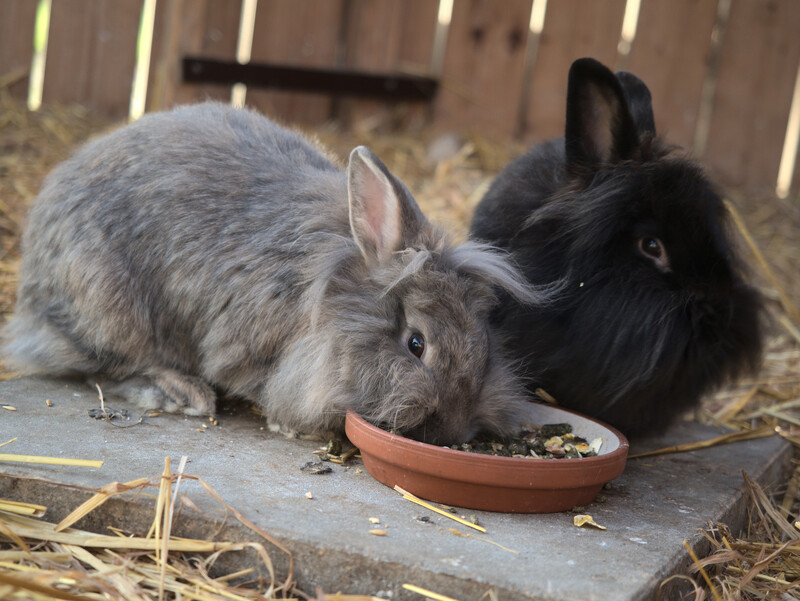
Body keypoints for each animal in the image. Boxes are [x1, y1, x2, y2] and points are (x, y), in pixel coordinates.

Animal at [2, 102, 552, 446]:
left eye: (484, 345)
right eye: (416, 344)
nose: (452, 434)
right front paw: (299, 429)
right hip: (107, 310)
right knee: (100, 366)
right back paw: (182, 393)